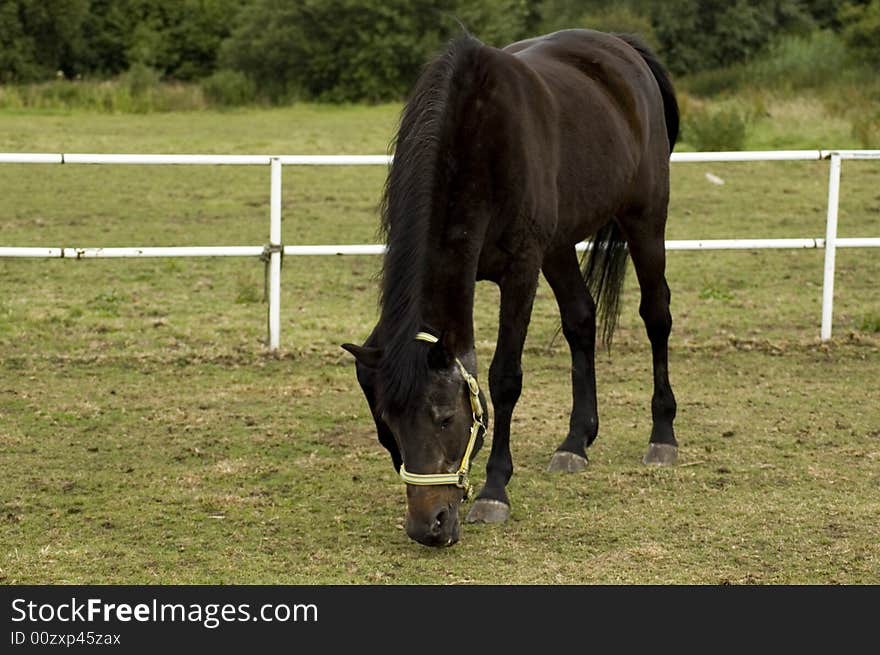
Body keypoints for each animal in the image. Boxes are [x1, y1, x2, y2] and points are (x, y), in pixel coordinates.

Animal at [340, 26, 676, 548]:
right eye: (388, 424)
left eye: (445, 418)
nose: (429, 527)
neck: (477, 140)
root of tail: (621, 47)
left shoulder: (521, 271)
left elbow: (505, 378)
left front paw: (495, 490)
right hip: (559, 246)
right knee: (580, 319)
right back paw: (575, 442)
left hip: (644, 219)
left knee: (657, 315)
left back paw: (663, 435)